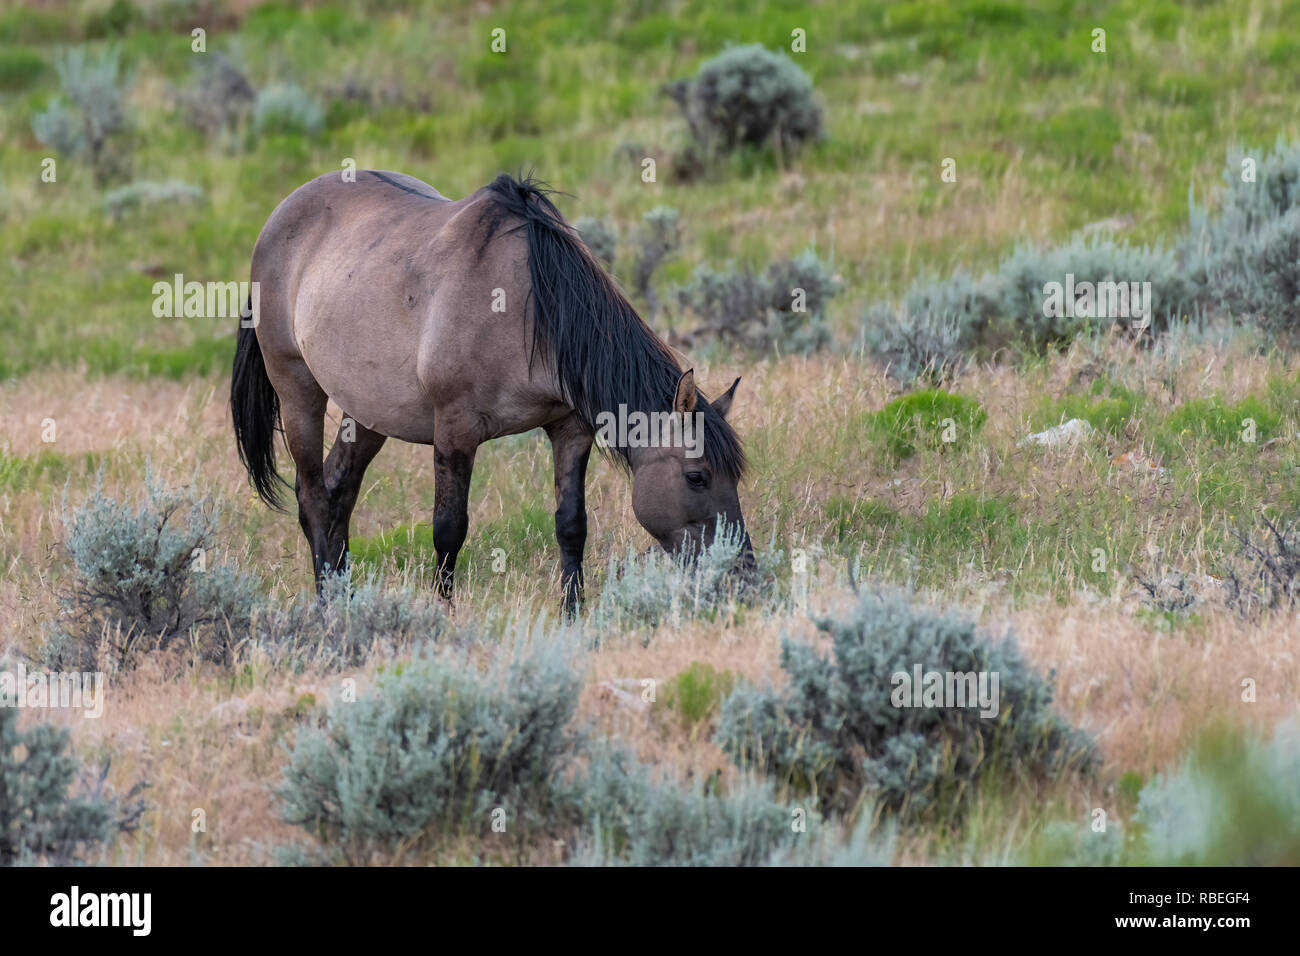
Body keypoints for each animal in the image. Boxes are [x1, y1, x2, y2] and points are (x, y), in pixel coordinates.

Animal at [233, 170, 754, 613]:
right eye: (696, 477)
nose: (742, 572)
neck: (529, 310)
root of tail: (279, 219)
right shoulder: (455, 431)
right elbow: (448, 531)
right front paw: (444, 615)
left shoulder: (569, 430)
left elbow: (571, 526)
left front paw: (573, 614)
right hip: (298, 390)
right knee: (313, 499)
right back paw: (329, 606)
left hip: (366, 413)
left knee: (339, 492)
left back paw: (346, 600)